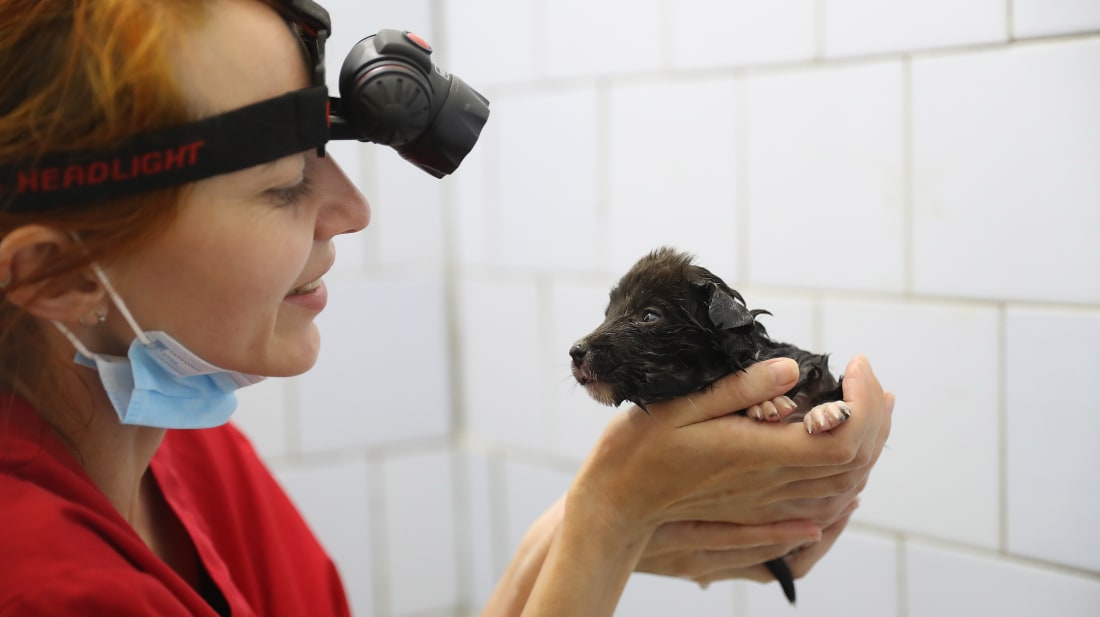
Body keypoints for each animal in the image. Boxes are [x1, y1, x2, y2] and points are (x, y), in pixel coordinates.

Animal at [567, 245, 849, 602]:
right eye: (608, 312)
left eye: (649, 316)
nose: (575, 351)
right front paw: (767, 402)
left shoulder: (804, 365)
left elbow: (820, 381)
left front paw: (822, 409)